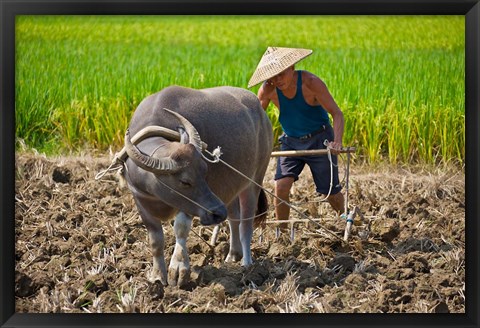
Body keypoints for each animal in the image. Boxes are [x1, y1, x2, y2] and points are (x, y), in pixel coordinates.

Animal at [122, 85, 274, 288]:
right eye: (185, 181)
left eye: (205, 170)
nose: (218, 212)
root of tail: (261, 111)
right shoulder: (141, 202)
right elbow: (155, 240)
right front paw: (157, 276)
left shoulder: (189, 205)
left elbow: (180, 228)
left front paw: (178, 269)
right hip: (230, 190)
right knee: (234, 218)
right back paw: (233, 255)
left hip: (254, 180)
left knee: (246, 225)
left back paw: (247, 263)